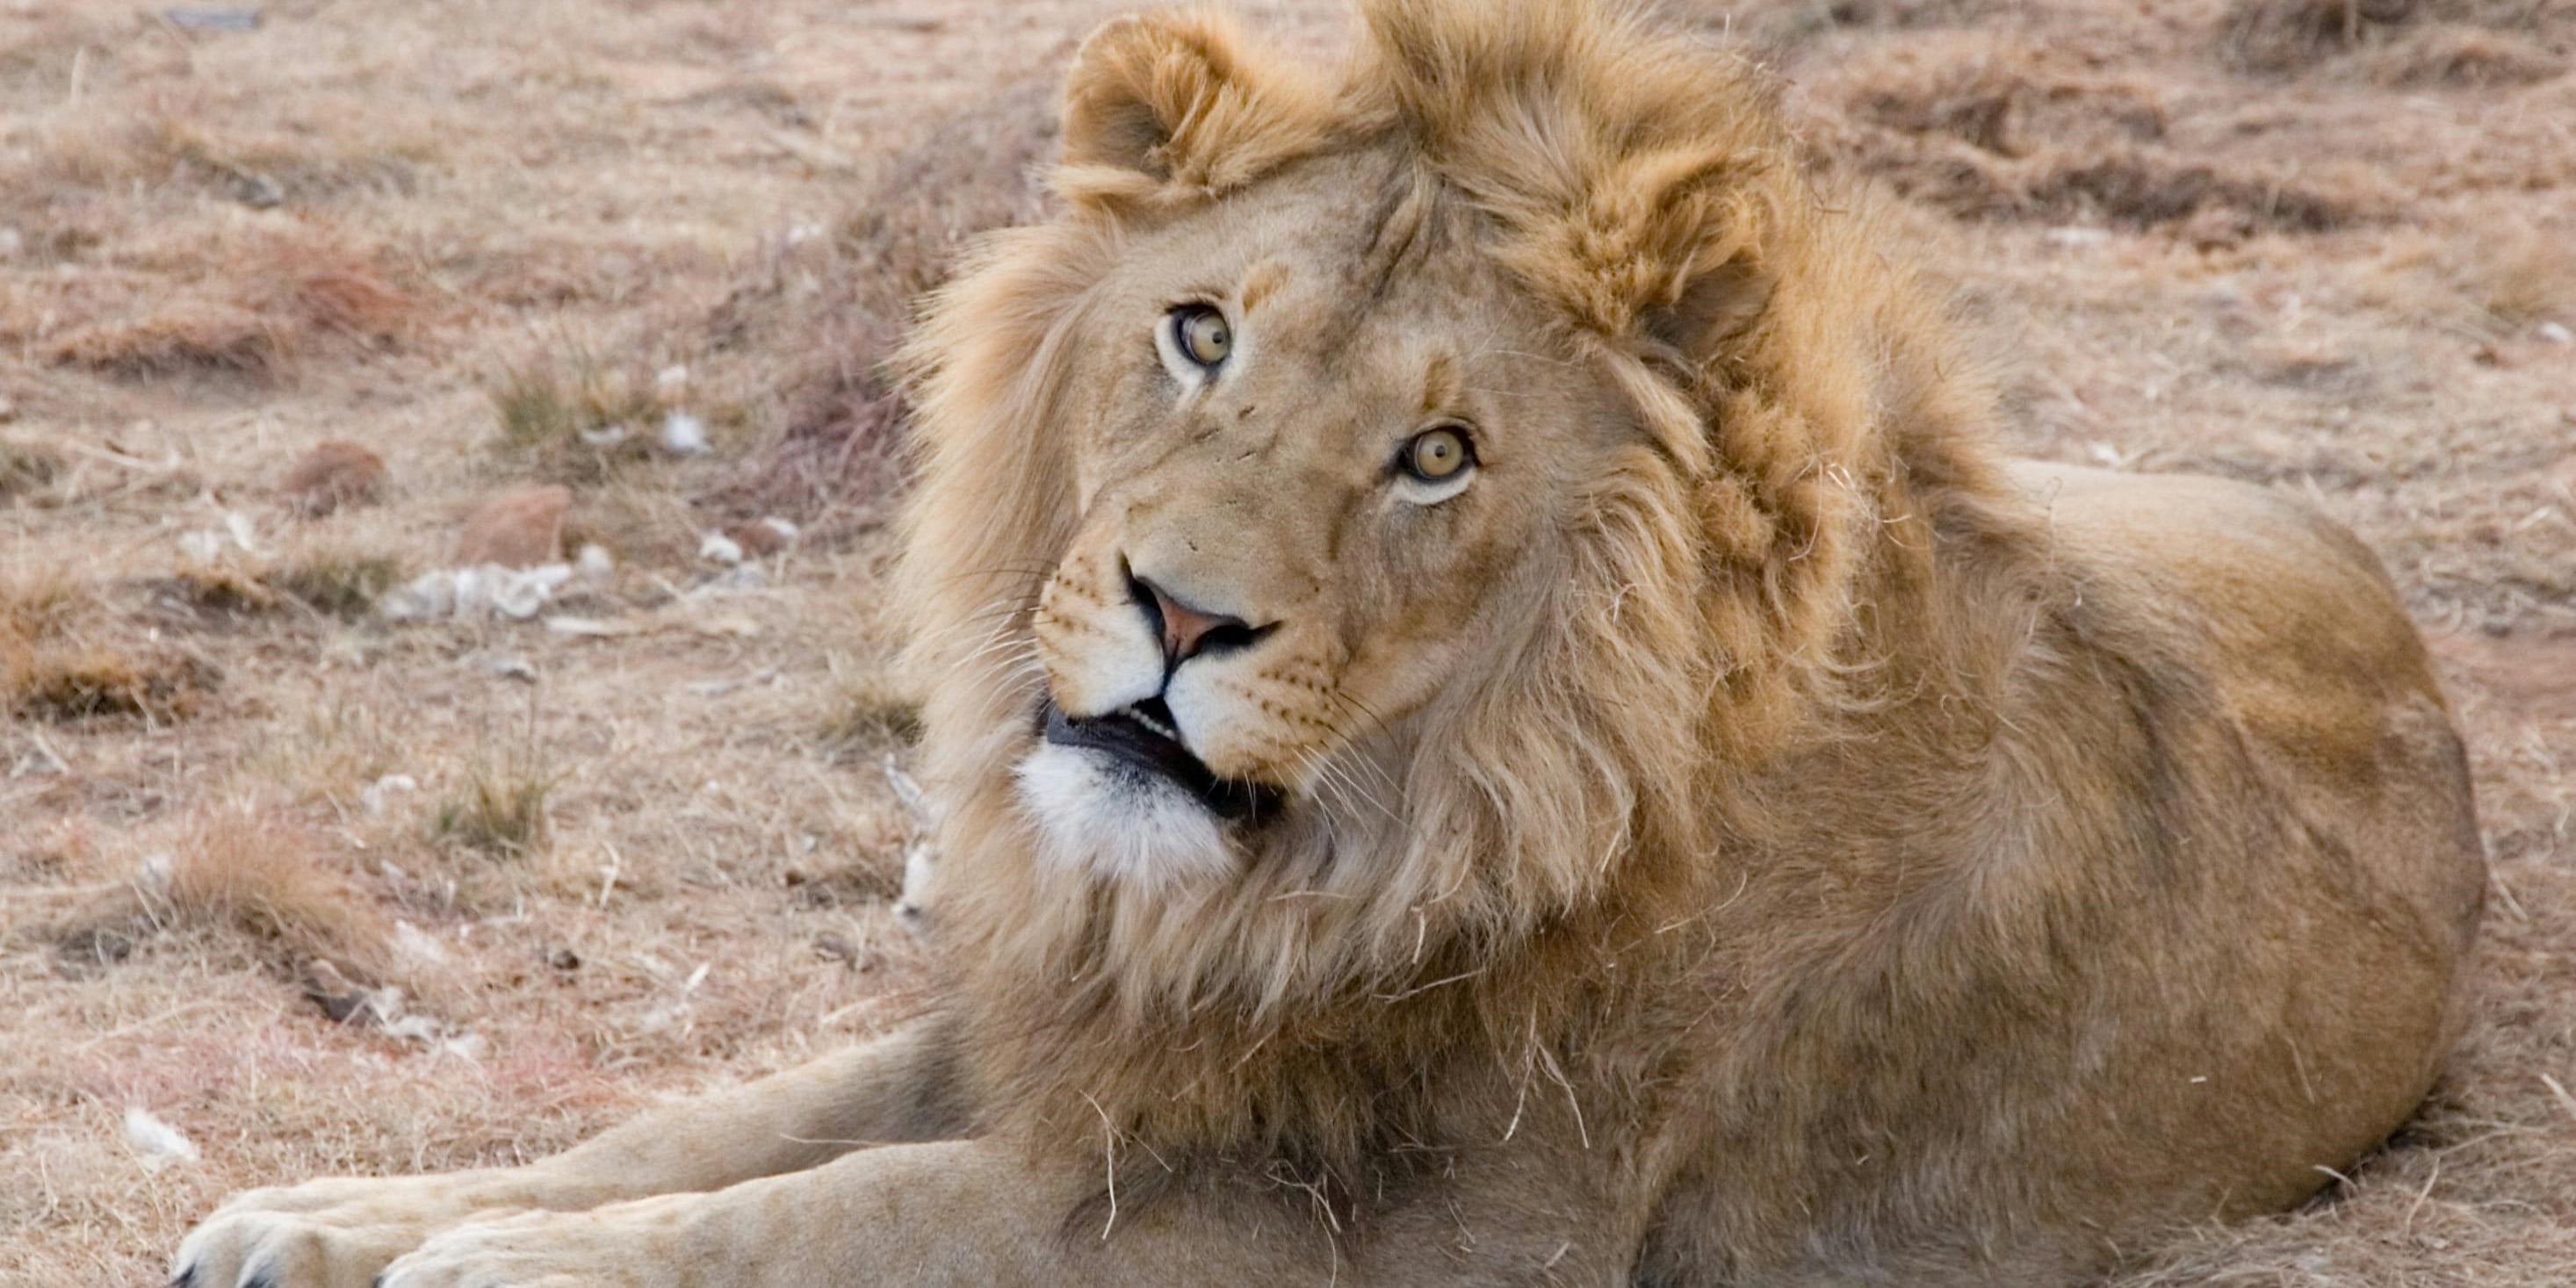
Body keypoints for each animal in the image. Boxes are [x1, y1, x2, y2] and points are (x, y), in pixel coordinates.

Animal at [169, 1, 2485, 1284]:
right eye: (1200, 333)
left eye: (1436, 456)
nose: (1177, 613)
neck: (1343, 865)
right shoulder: (1086, 1013)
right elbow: (714, 1124)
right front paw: (332, 1216)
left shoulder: (1430, 1243)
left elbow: (885, 1210)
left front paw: (487, 1263)